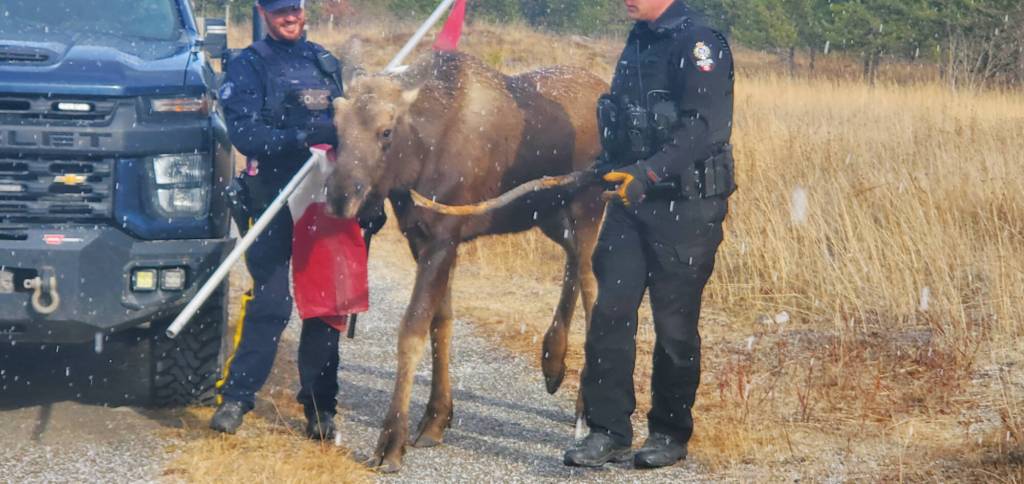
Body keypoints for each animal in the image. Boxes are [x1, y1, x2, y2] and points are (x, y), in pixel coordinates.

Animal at [328, 51, 607, 472]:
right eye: (336, 126)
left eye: (386, 131)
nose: (340, 196)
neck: (417, 160)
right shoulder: (422, 238)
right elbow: (441, 322)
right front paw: (436, 418)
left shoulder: (444, 237)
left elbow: (412, 329)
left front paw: (392, 441)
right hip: (550, 216)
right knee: (574, 268)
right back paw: (553, 360)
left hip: (589, 209)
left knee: (594, 288)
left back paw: (583, 404)